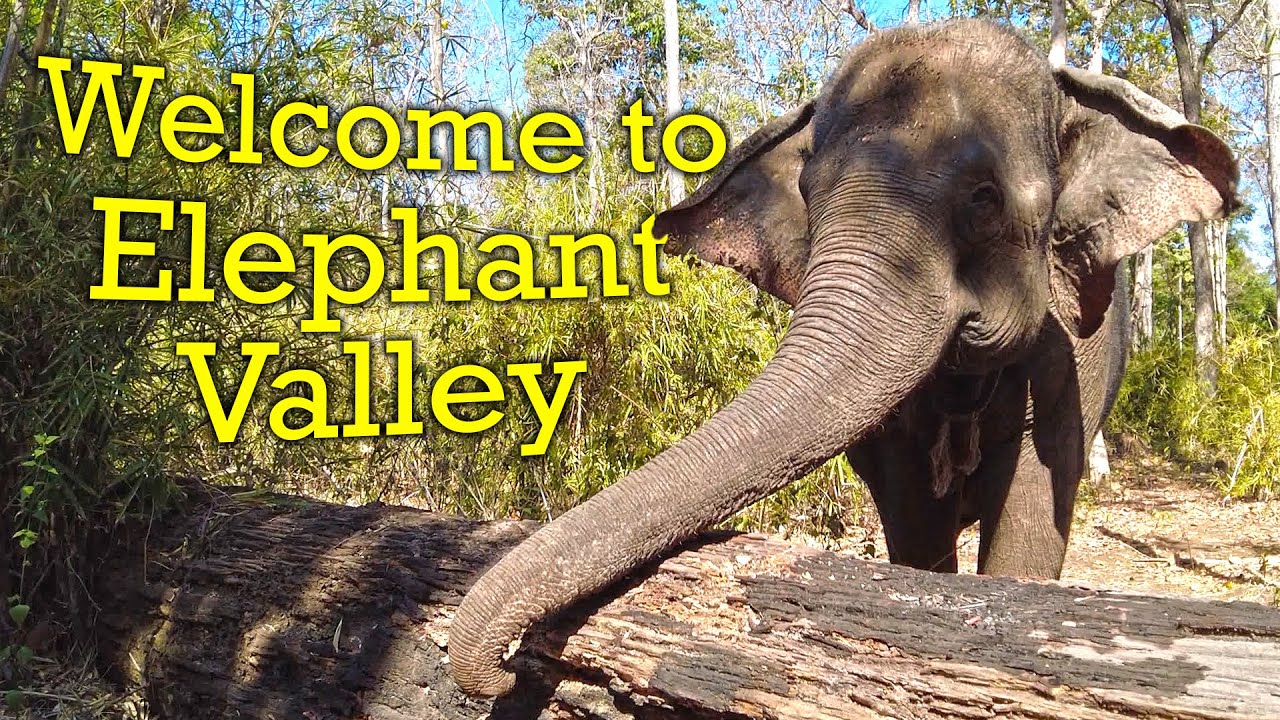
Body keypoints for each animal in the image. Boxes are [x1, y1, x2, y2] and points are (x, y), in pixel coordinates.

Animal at [447, 18, 1239, 697]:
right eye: (809, 193)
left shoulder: (1071, 355)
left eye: (984, 199)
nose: (504, 668)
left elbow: (1031, 522)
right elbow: (914, 524)